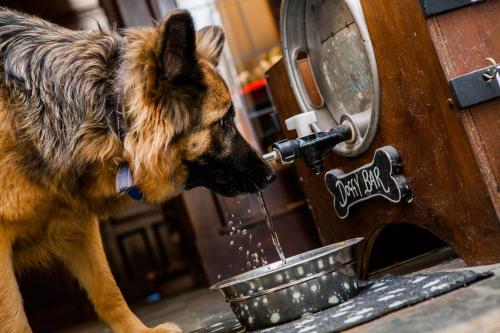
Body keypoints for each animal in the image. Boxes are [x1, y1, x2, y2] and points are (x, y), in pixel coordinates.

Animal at [0, 7, 274, 332]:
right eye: (224, 121)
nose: (270, 174)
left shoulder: (77, 223)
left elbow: (109, 292)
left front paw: (139, 330)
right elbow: (15, 320)